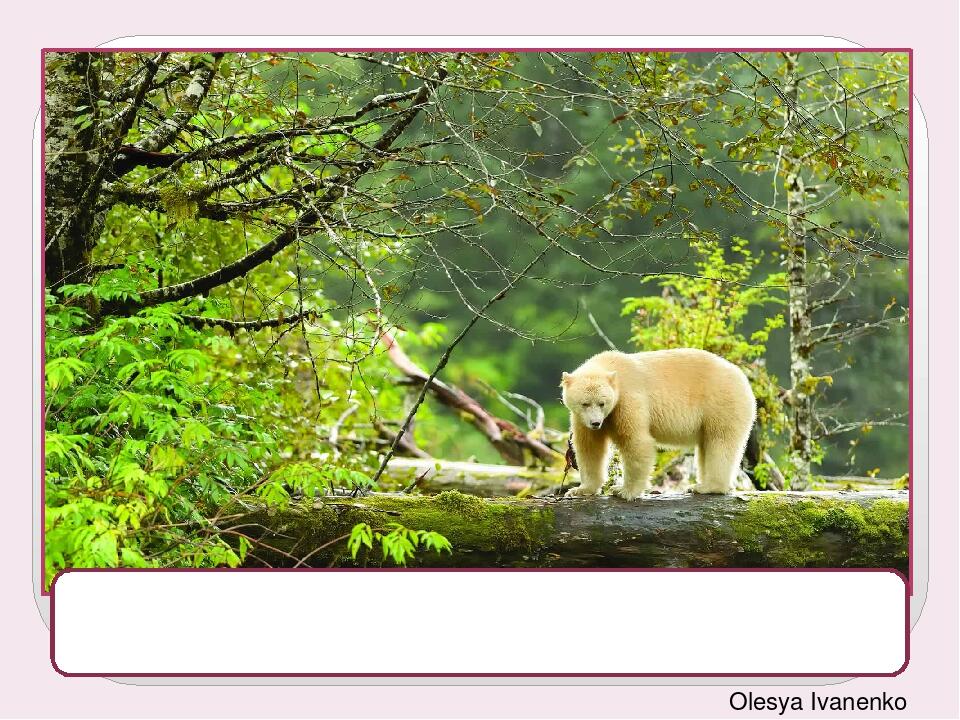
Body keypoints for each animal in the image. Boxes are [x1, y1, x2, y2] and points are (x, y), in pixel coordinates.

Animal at [561, 349, 756, 498]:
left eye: (602, 403)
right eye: (585, 403)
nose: (595, 423)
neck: (612, 367)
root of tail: (743, 379)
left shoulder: (628, 399)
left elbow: (636, 441)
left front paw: (624, 491)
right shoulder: (582, 418)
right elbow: (589, 448)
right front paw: (580, 490)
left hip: (722, 402)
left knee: (720, 441)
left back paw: (708, 487)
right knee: (707, 445)